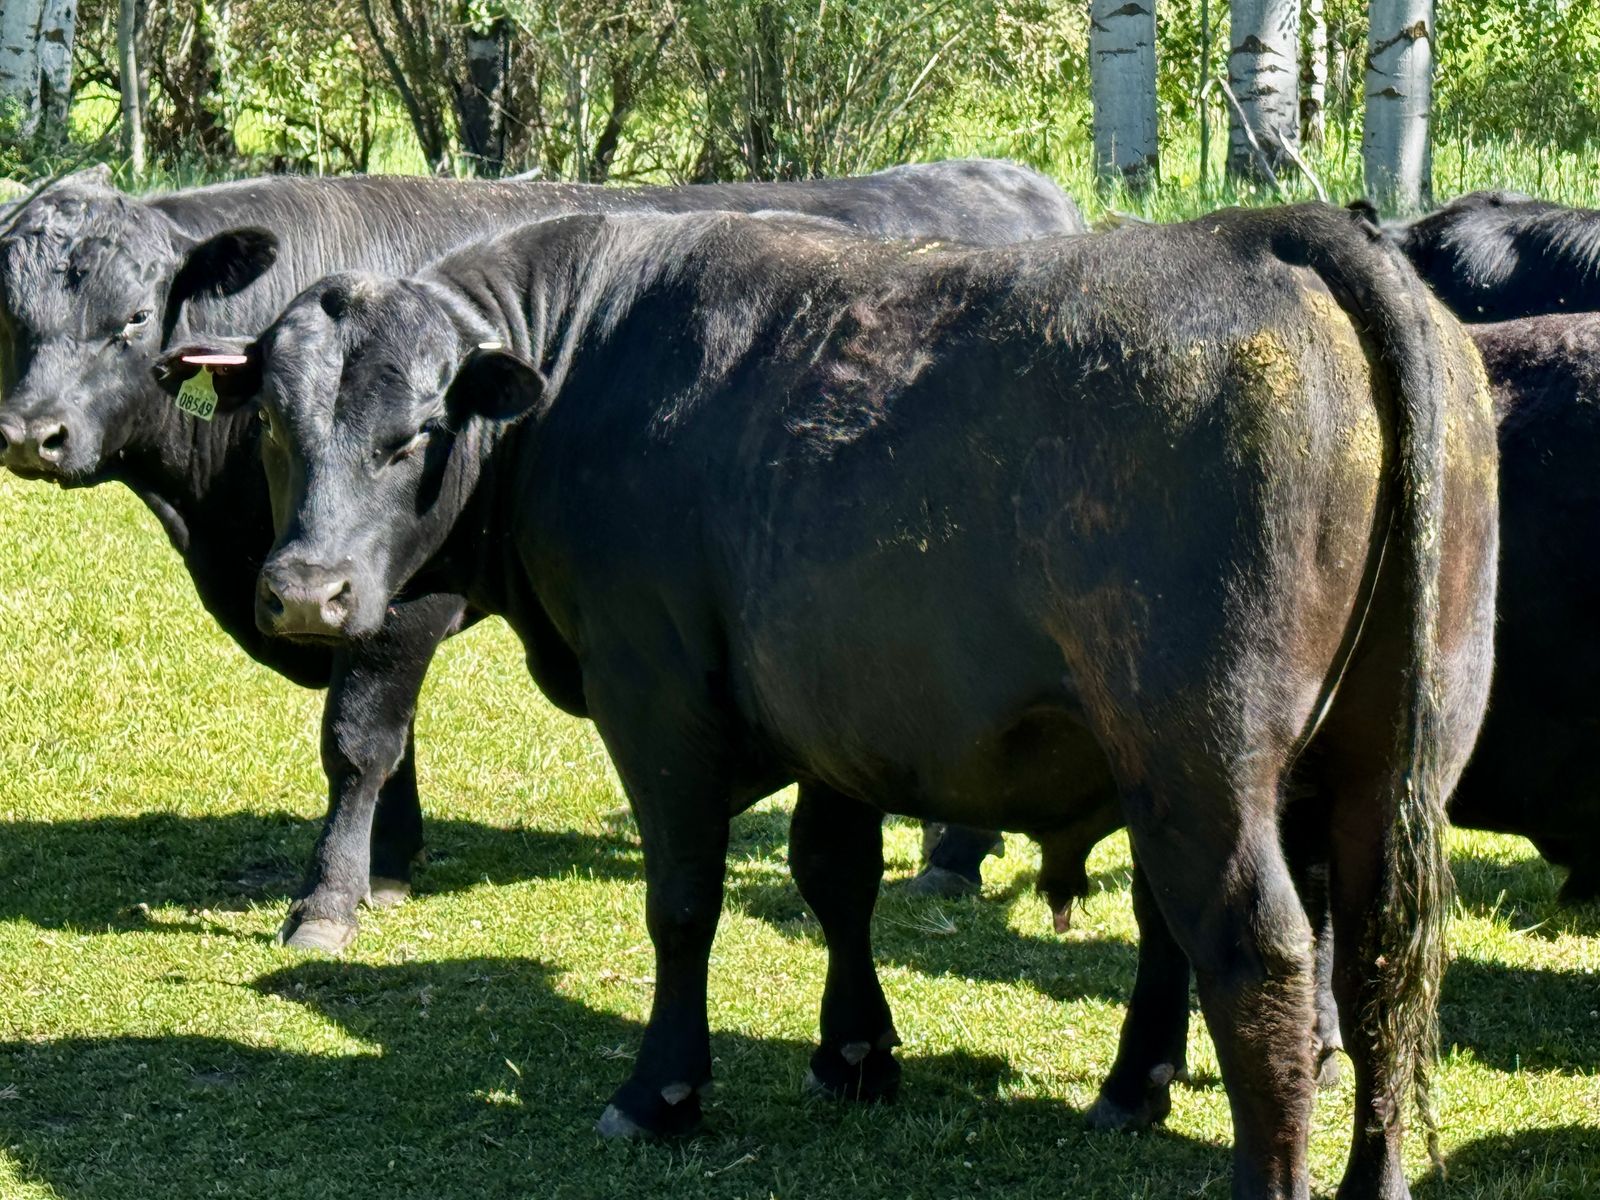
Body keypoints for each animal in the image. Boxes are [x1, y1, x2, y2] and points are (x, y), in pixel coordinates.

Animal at [0, 160, 1083, 952]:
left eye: (131, 320)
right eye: (12, 318)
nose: (31, 434)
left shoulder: (403, 596)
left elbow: (358, 740)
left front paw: (329, 899)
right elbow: (392, 741)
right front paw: (390, 862)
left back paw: (953, 856)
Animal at [168, 202, 1497, 1198]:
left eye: (412, 434)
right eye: (277, 426)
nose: (306, 591)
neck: (588, 356)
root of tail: (1273, 233)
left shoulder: (654, 695)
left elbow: (684, 902)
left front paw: (662, 1090)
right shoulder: (837, 710)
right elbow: (832, 876)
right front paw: (855, 1049)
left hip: (1200, 769)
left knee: (1258, 954)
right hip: (1389, 763)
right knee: (1381, 962)